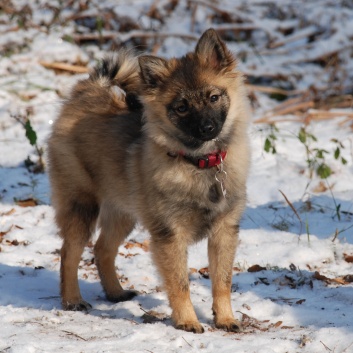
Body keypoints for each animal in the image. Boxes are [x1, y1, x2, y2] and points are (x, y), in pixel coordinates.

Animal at [46, 28, 250, 332]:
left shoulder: (224, 232)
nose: (207, 128)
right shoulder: (170, 235)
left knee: (102, 248)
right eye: (181, 107)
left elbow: (222, 282)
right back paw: (72, 299)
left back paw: (115, 292)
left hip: (122, 212)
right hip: (82, 206)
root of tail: (86, 92)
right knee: (69, 253)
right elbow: (180, 285)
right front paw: (187, 321)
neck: (200, 164)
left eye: (214, 97)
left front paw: (225, 318)